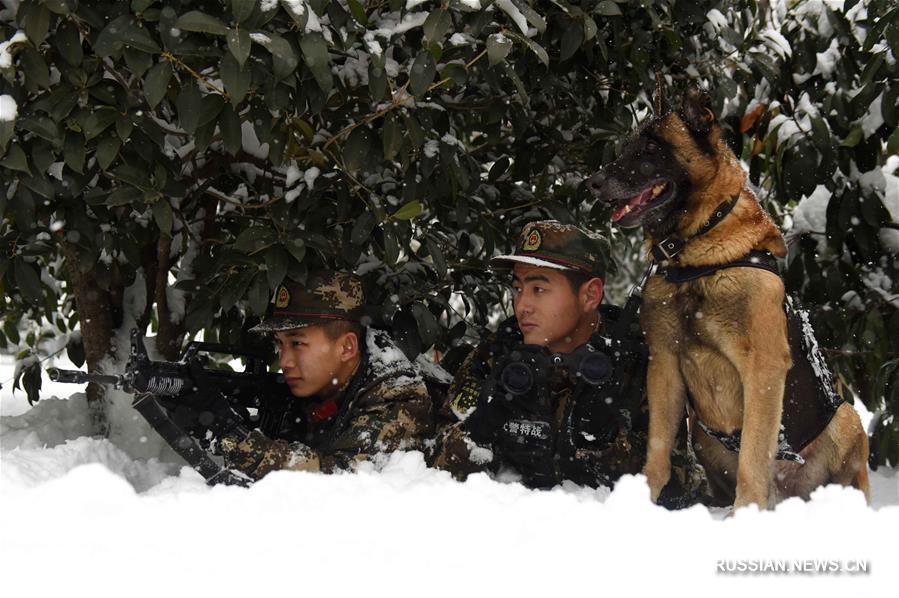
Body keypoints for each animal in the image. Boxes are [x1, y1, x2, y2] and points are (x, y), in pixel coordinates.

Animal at [588, 88, 868, 510]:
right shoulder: (664, 365)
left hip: (847, 419)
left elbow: (753, 456)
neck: (695, 256)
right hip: (702, 433)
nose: (593, 182)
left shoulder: (763, 370)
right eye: (626, 149)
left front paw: (745, 515)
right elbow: (658, 451)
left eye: (651, 149)